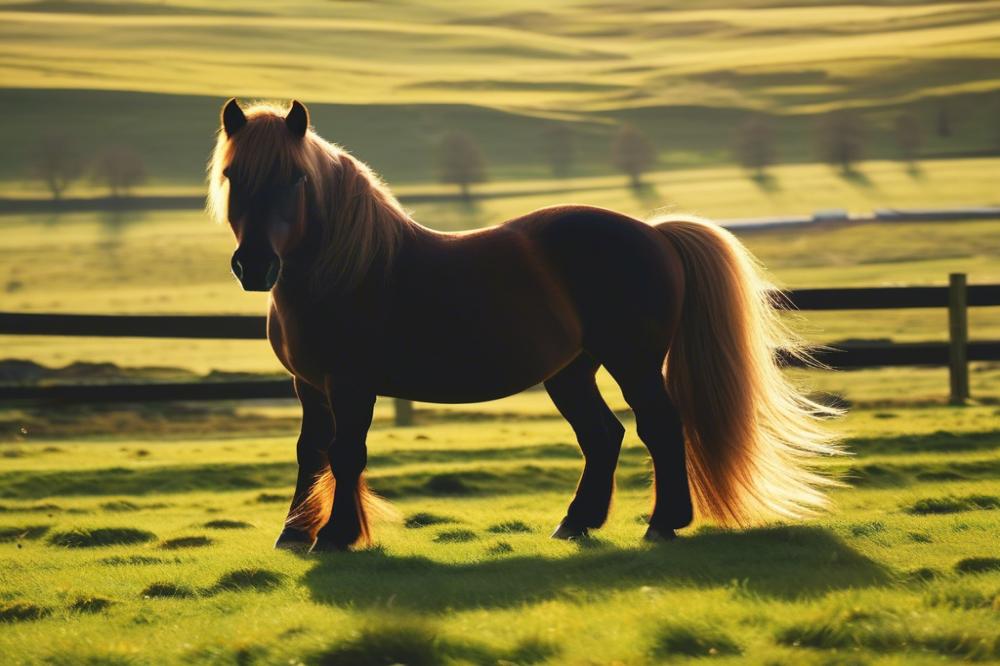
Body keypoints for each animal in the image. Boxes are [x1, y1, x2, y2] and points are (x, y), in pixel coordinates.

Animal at [211, 98, 844, 548]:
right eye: (233, 176)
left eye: (295, 178)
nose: (255, 266)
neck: (350, 266)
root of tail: (654, 232)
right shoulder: (310, 386)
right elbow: (310, 451)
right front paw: (294, 532)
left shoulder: (350, 384)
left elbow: (345, 453)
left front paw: (337, 535)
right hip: (571, 371)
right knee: (603, 436)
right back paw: (576, 523)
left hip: (634, 363)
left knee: (659, 427)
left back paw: (663, 523)